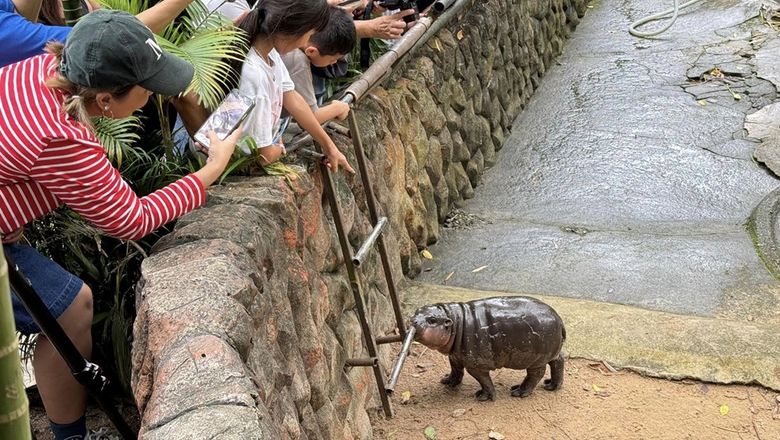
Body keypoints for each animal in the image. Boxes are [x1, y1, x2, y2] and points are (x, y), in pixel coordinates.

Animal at [411, 296, 566, 401]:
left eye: (432, 320)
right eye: (416, 311)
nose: (413, 321)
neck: (455, 321)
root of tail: (559, 319)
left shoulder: (476, 366)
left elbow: (484, 381)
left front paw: (483, 397)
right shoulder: (454, 356)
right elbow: (455, 370)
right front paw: (447, 381)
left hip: (536, 360)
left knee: (536, 374)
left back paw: (518, 392)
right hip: (551, 352)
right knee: (558, 360)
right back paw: (551, 386)